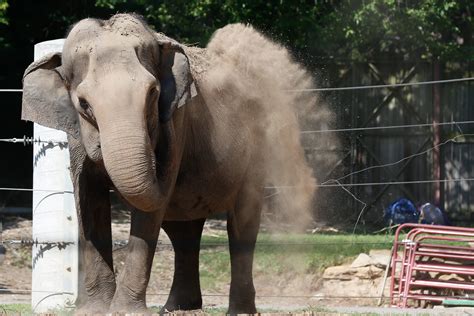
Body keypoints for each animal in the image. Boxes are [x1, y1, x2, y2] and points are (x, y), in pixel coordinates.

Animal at [23, 12, 318, 314]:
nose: (158, 153)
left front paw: (125, 311)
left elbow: (148, 213)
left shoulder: (178, 118)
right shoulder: (75, 134)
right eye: (83, 104)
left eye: (153, 93)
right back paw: (180, 307)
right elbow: (88, 199)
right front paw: (93, 311)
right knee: (182, 229)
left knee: (241, 224)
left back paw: (238, 310)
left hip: (255, 153)